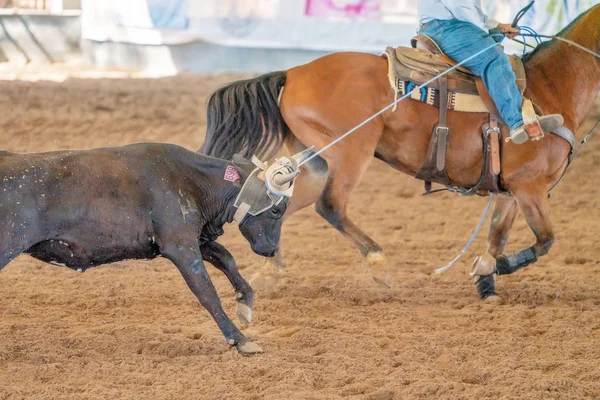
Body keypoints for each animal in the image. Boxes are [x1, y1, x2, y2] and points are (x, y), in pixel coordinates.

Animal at [200, 6, 600, 298]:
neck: (550, 86)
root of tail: (292, 73)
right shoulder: (530, 186)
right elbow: (546, 240)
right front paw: (491, 269)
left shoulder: (511, 190)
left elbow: (497, 237)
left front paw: (486, 280)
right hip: (351, 152)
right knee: (330, 206)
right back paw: (379, 264)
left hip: (315, 159)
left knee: (285, 205)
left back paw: (270, 270)